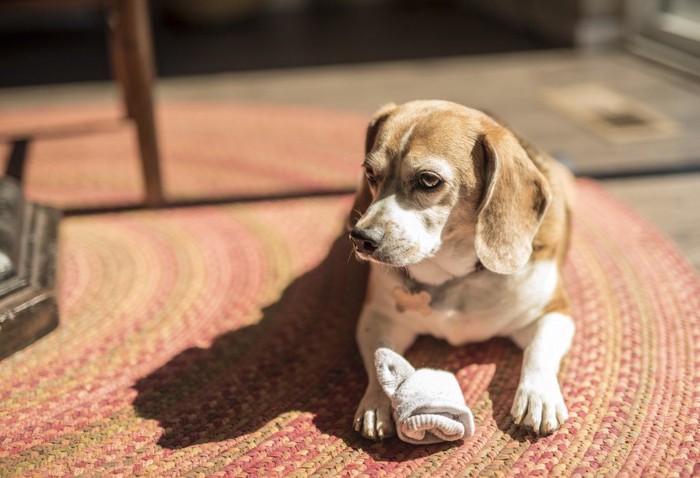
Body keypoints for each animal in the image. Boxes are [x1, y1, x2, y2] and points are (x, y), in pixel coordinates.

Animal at [348, 101, 576, 440]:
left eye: (429, 180)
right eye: (370, 174)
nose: (361, 238)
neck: (455, 276)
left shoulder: (555, 311)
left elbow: (538, 349)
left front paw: (538, 397)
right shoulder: (378, 316)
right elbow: (380, 357)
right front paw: (376, 402)